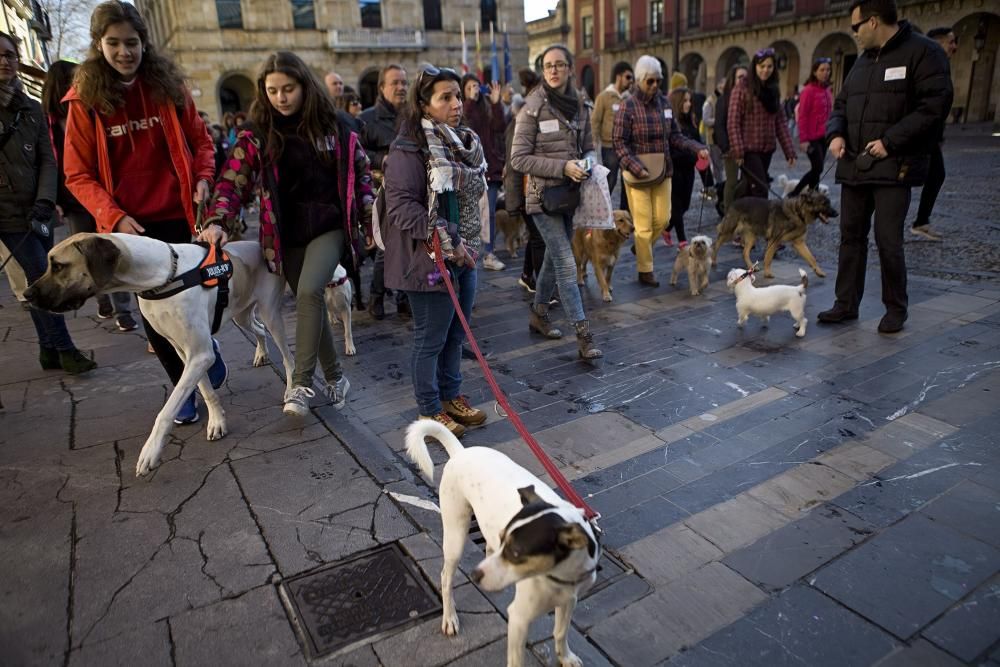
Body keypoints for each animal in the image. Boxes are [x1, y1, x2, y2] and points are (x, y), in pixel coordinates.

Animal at [23, 234, 292, 474]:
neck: (162, 277)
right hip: (241, 314)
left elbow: (167, 410)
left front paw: (150, 451)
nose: (26, 295)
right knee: (259, 329)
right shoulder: (184, 350)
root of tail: (257, 243)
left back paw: (290, 390)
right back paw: (261, 354)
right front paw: (217, 422)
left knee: (287, 356)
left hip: (270, 313)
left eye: (59, 266)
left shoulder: (200, 354)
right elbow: (207, 391)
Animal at [406, 422, 600, 667]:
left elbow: (560, 632)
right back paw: (449, 616)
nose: (475, 575)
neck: (562, 575)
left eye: (516, 553)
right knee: (445, 577)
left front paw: (565, 657)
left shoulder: (568, 601)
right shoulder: (519, 618)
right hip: (455, 535)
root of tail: (461, 452)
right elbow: (517, 660)